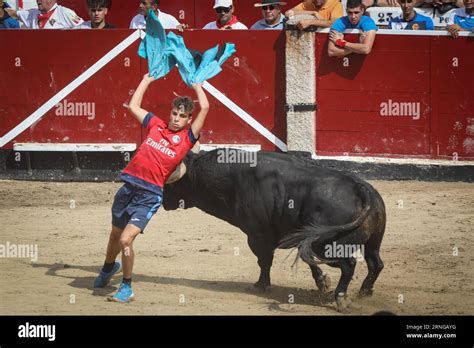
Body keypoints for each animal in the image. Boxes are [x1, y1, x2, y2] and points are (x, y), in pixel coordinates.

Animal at [163, 151, 386, 308]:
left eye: (169, 185)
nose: (163, 201)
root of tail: (360, 188)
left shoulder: (257, 236)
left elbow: (264, 260)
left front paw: (261, 285)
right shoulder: (298, 237)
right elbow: (307, 259)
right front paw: (322, 282)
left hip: (328, 245)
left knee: (349, 265)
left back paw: (341, 298)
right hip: (372, 242)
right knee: (375, 263)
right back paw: (364, 292)